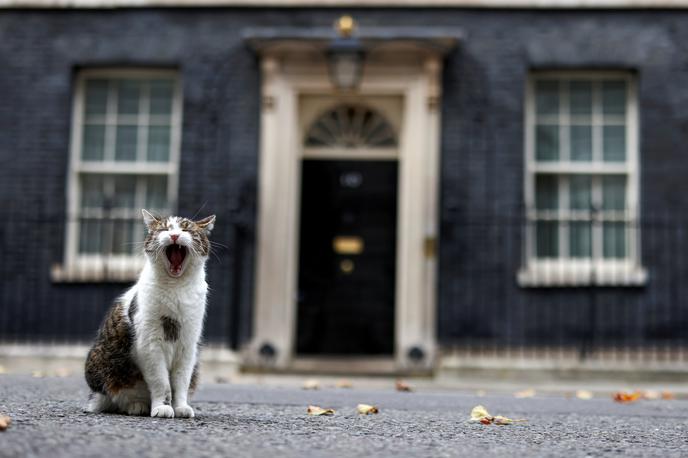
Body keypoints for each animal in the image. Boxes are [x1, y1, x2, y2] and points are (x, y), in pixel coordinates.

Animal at [85, 209, 215, 416]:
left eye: (186, 228)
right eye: (164, 229)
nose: (174, 235)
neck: (175, 288)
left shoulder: (188, 346)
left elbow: (181, 382)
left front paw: (180, 407)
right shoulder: (150, 344)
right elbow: (161, 382)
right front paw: (162, 407)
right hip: (103, 366)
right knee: (119, 397)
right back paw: (137, 406)